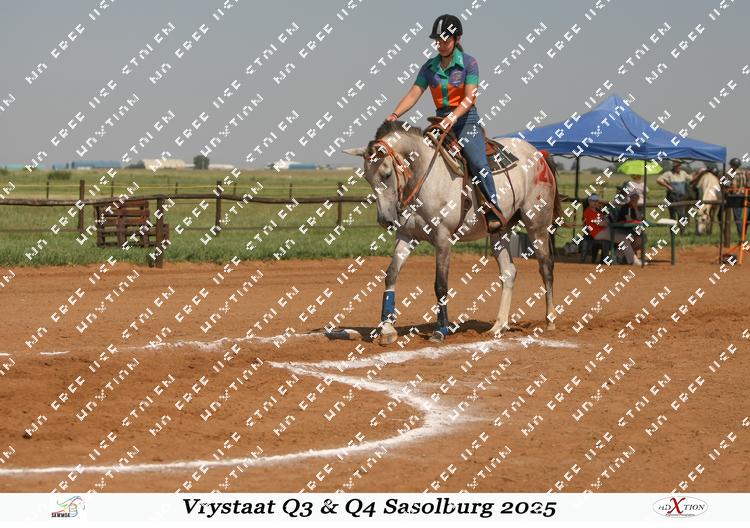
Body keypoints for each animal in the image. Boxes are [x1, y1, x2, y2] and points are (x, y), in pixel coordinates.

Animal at [343, 120, 562, 345]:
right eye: (367, 178)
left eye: (386, 174)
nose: (384, 220)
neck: (425, 177)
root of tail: (539, 154)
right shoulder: (406, 236)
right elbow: (391, 274)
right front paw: (387, 329)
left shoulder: (443, 238)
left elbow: (440, 284)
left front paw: (441, 330)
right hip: (500, 231)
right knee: (509, 271)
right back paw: (498, 326)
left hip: (537, 225)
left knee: (546, 267)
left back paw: (550, 321)